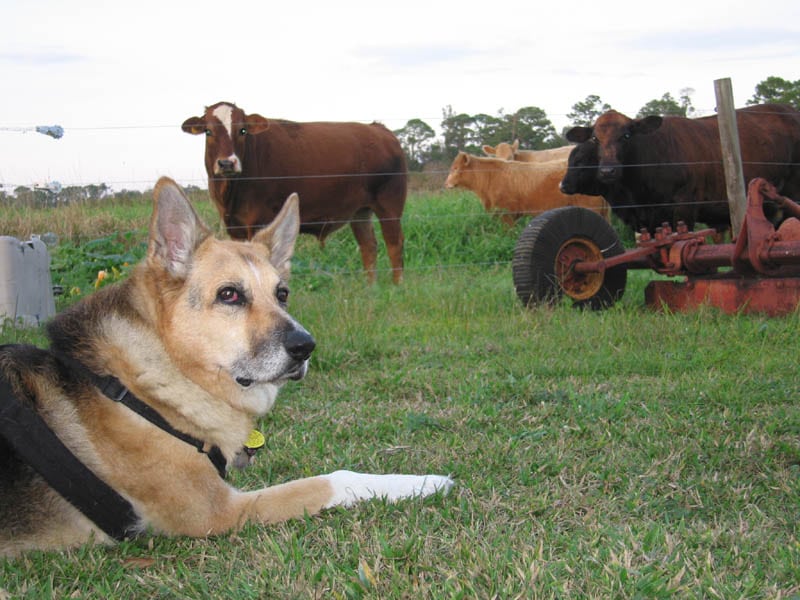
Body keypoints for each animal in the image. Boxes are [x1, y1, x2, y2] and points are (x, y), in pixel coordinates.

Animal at [0, 176, 450, 556]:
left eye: (282, 294)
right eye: (229, 294)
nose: (306, 347)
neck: (144, 382)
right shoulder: (219, 511)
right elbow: (332, 479)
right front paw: (424, 482)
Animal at [181, 101, 406, 284]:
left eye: (242, 130)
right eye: (208, 131)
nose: (227, 163)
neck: (231, 192)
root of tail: (378, 129)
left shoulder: (259, 221)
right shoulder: (235, 226)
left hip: (390, 205)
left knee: (394, 243)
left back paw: (397, 285)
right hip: (360, 211)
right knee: (369, 246)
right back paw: (371, 287)